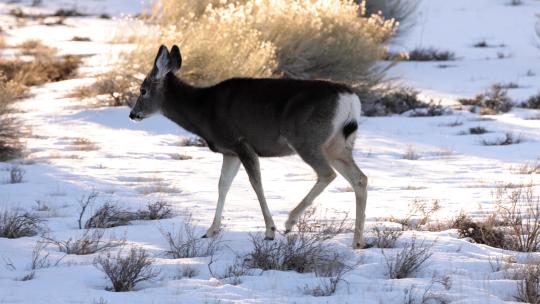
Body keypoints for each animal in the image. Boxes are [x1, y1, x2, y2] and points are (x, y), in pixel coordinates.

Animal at [130, 45, 368, 249]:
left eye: (143, 90)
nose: (132, 114)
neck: (203, 111)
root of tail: (350, 100)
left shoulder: (241, 143)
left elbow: (256, 184)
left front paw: (270, 231)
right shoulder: (230, 152)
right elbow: (223, 185)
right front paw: (211, 230)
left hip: (306, 139)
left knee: (327, 174)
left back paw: (289, 222)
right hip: (337, 144)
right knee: (360, 178)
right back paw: (357, 242)